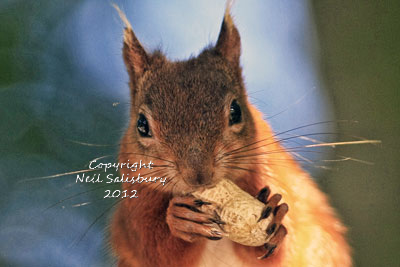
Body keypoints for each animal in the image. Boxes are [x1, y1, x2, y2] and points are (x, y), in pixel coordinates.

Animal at [109, 4, 350, 267]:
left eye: (236, 111)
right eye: (142, 125)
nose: (198, 177)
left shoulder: (281, 181)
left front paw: (276, 221)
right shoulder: (135, 210)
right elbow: (156, 250)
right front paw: (179, 218)